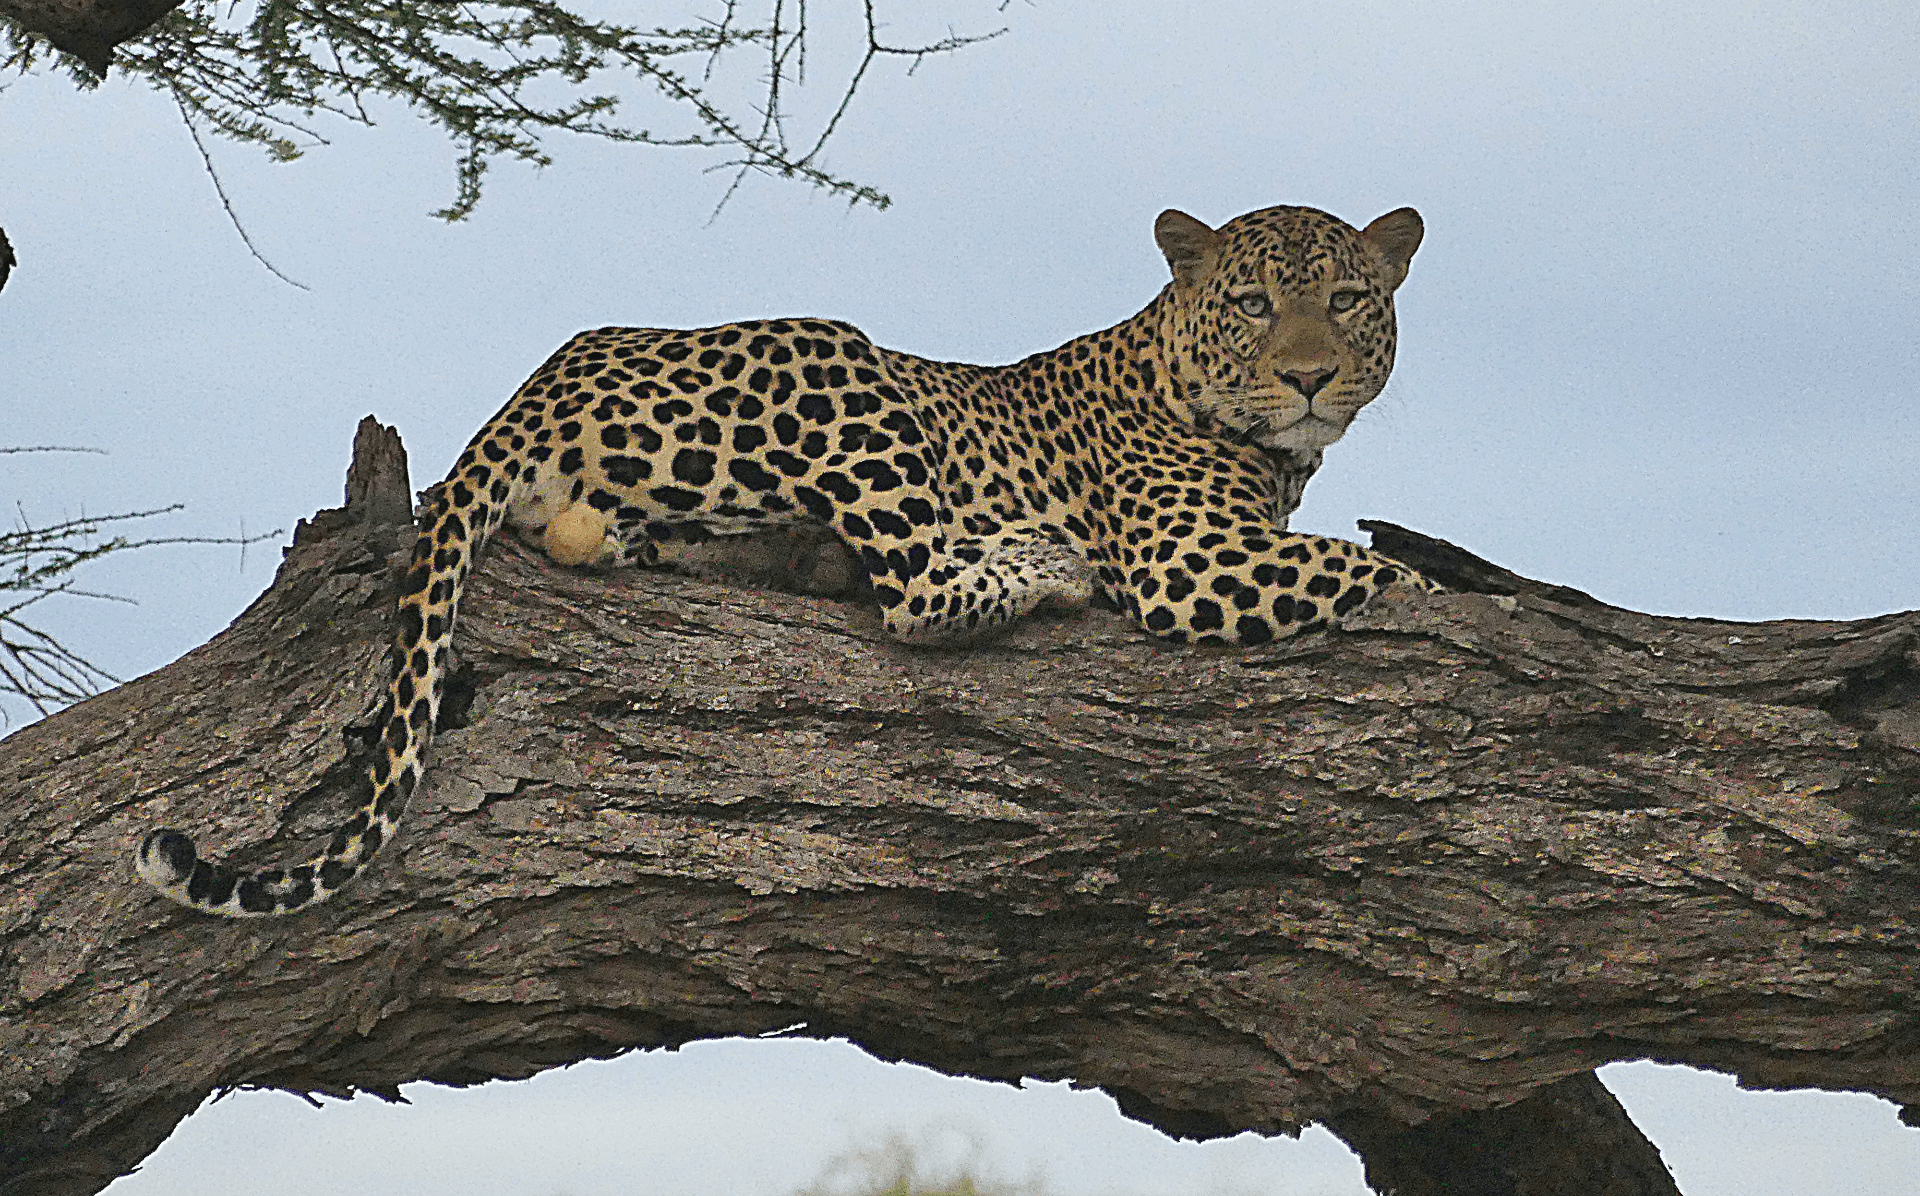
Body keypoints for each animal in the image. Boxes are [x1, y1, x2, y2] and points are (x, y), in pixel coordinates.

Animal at [136, 201, 1430, 917]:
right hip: (840, 355)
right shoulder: (1183, 554)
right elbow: (1373, 570)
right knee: (915, 587)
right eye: (1254, 303)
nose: (1310, 376)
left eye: (1348, 297)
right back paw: (1039, 563)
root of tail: (528, 391)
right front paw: (1425, 582)